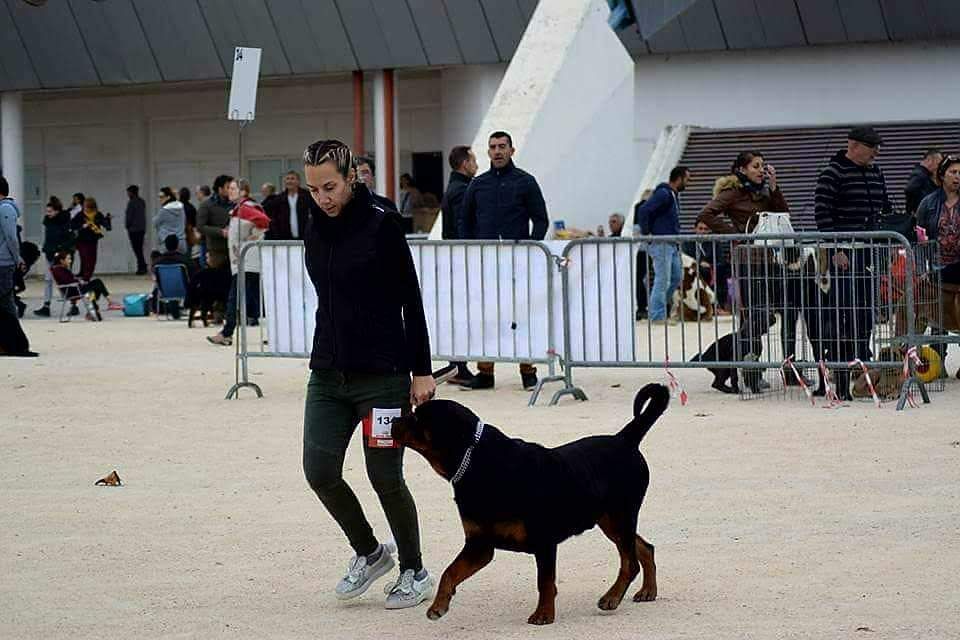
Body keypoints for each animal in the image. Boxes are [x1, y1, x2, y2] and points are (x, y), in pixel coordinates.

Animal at [390, 382, 668, 624]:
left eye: (418, 419)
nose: (392, 420)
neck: (478, 462)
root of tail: (624, 439)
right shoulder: (480, 544)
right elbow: (449, 572)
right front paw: (439, 606)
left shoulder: (543, 541)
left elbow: (544, 581)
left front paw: (543, 614)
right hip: (609, 520)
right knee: (644, 548)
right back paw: (647, 591)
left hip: (620, 516)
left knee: (630, 562)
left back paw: (611, 598)